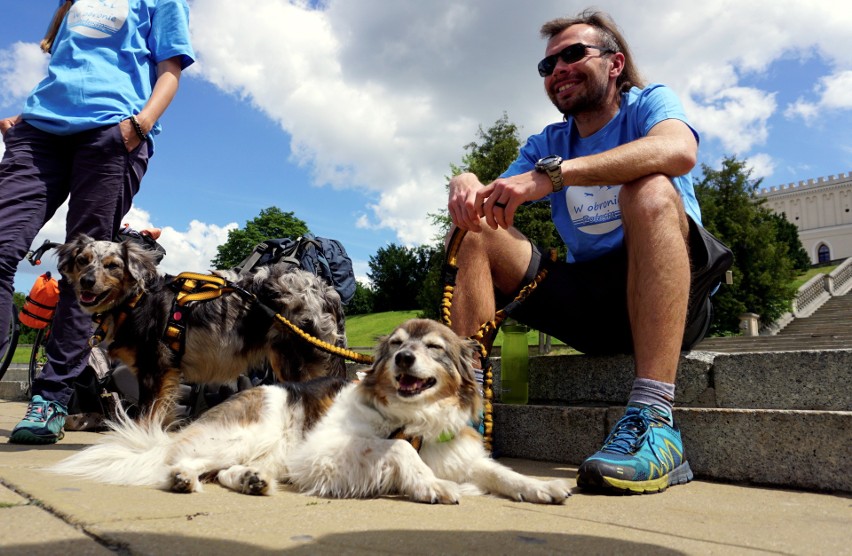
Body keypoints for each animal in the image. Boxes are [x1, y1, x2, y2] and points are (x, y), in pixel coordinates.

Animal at [53, 318, 572, 504]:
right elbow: (400, 451)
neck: (415, 418)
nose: (404, 360)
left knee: (226, 471)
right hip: (254, 426)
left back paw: (251, 481)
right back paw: (182, 477)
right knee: (182, 459)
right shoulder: (324, 452)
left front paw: (541, 486)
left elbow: (500, 473)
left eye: (434, 348)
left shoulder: (460, 454)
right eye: (397, 344)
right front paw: (431, 484)